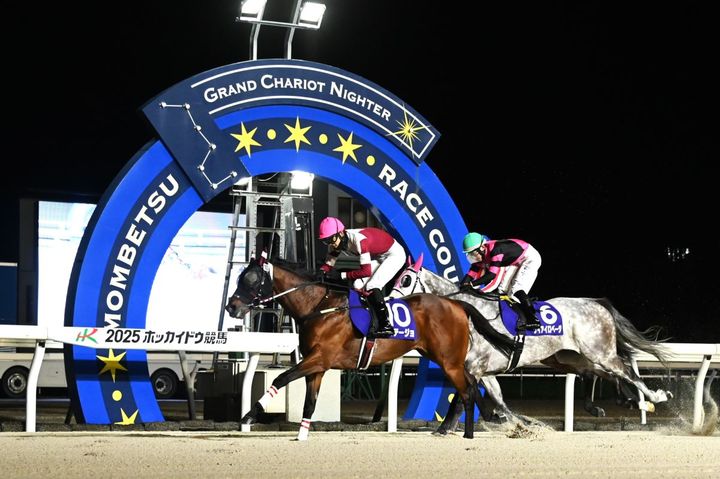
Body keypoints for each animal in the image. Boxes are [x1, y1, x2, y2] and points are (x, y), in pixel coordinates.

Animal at [224, 257, 513, 440]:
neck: (320, 307)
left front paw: (248, 416)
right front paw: (302, 435)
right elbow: (309, 403)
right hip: (443, 358)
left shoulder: (319, 358)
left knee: (466, 391)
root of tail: (456, 304)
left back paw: (468, 434)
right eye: (240, 278)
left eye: (252, 280)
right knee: (471, 386)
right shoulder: (317, 366)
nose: (231, 307)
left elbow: (281, 378)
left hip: (449, 360)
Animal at [390, 254, 671, 430]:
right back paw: (621, 403)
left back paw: (655, 397)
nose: (393, 302)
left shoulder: (476, 366)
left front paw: (445, 428)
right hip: (568, 357)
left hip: (600, 351)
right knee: (597, 373)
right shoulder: (482, 370)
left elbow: (462, 398)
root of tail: (596, 302)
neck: (471, 312)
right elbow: (497, 400)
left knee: (625, 370)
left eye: (406, 279)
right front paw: (516, 422)